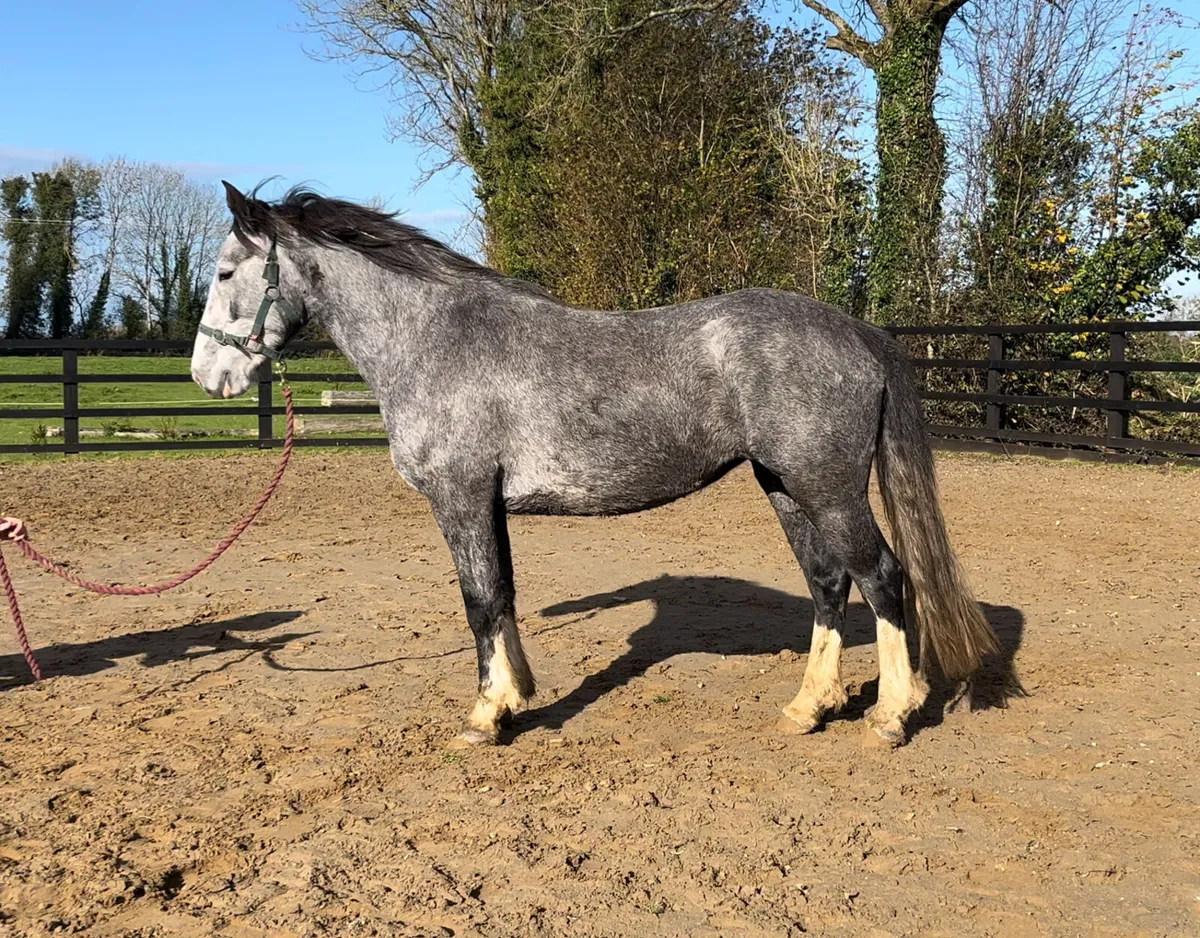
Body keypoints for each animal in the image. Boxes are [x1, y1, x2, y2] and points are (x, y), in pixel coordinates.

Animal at [190, 182, 998, 748]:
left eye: (227, 271)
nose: (206, 376)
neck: (434, 339)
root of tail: (858, 332)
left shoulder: (459, 498)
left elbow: (478, 600)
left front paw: (486, 716)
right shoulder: (487, 505)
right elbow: (503, 596)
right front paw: (515, 697)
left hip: (829, 491)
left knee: (883, 578)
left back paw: (891, 716)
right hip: (788, 488)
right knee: (828, 583)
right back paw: (808, 707)